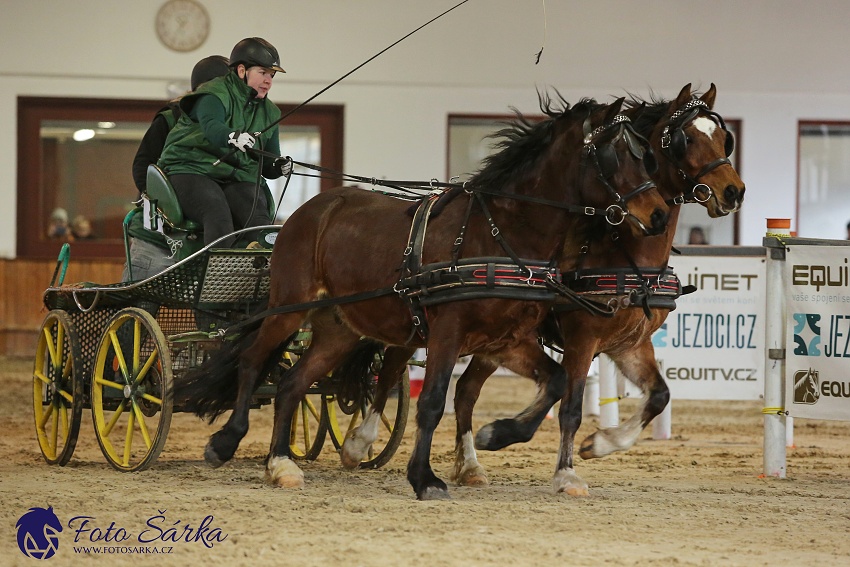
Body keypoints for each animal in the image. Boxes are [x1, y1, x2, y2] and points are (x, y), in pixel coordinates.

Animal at [176, 94, 672, 502]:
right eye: (614, 155)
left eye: (648, 156)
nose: (660, 215)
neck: (502, 232)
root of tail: (311, 208)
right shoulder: (449, 332)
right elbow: (433, 401)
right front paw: (424, 477)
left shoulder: (508, 339)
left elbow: (552, 383)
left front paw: (497, 434)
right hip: (289, 307)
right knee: (253, 360)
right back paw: (227, 441)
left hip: (340, 328)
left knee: (293, 383)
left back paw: (281, 465)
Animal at [338, 82, 744, 494]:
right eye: (685, 139)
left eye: (723, 138)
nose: (733, 191)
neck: (621, 249)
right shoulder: (582, 339)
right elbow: (571, 407)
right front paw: (564, 472)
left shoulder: (630, 342)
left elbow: (659, 396)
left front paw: (600, 443)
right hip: (426, 328)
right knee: (393, 370)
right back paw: (360, 443)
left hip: (490, 341)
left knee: (465, 392)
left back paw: (470, 465)